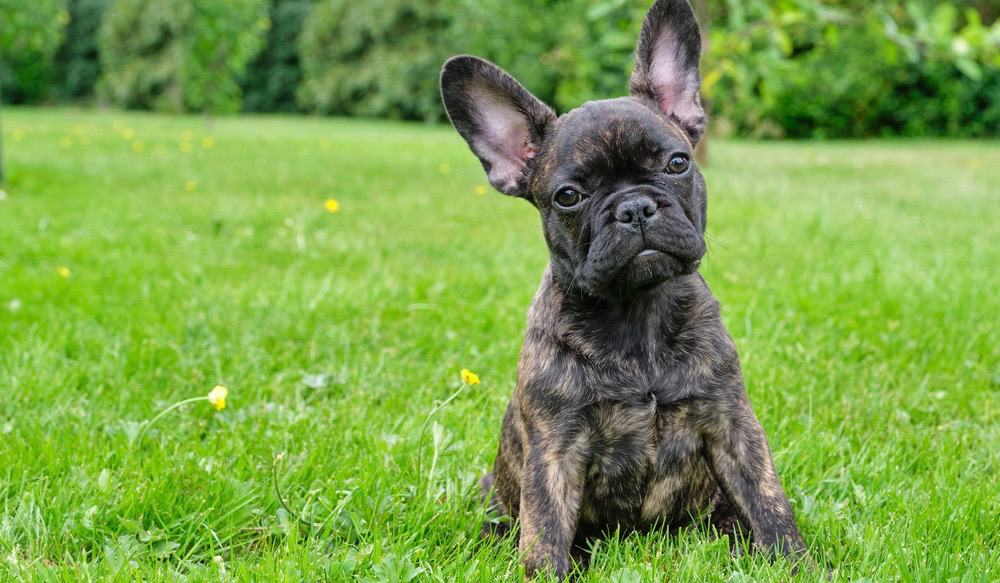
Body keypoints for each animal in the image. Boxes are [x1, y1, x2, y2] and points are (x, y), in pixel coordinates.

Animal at [440, 0, 812, 576]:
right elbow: (544, 532)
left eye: (678, 162)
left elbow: (768, 502)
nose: (634, 207)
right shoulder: (555, 452)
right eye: (568, 196)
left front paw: (796, 564)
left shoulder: (733, 425)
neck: (638, 315)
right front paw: (548, 572)